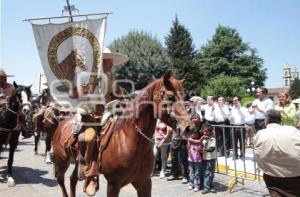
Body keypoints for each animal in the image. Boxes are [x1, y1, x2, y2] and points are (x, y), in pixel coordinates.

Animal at [52, 70, 192, 196]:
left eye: (184, 97)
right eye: (170, 96)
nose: (189, 128)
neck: (131, 140)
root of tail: (61, 124)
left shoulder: (144, 182)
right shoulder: (114, 185)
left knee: (72, 179)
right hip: (62, 161)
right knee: (60, 179)